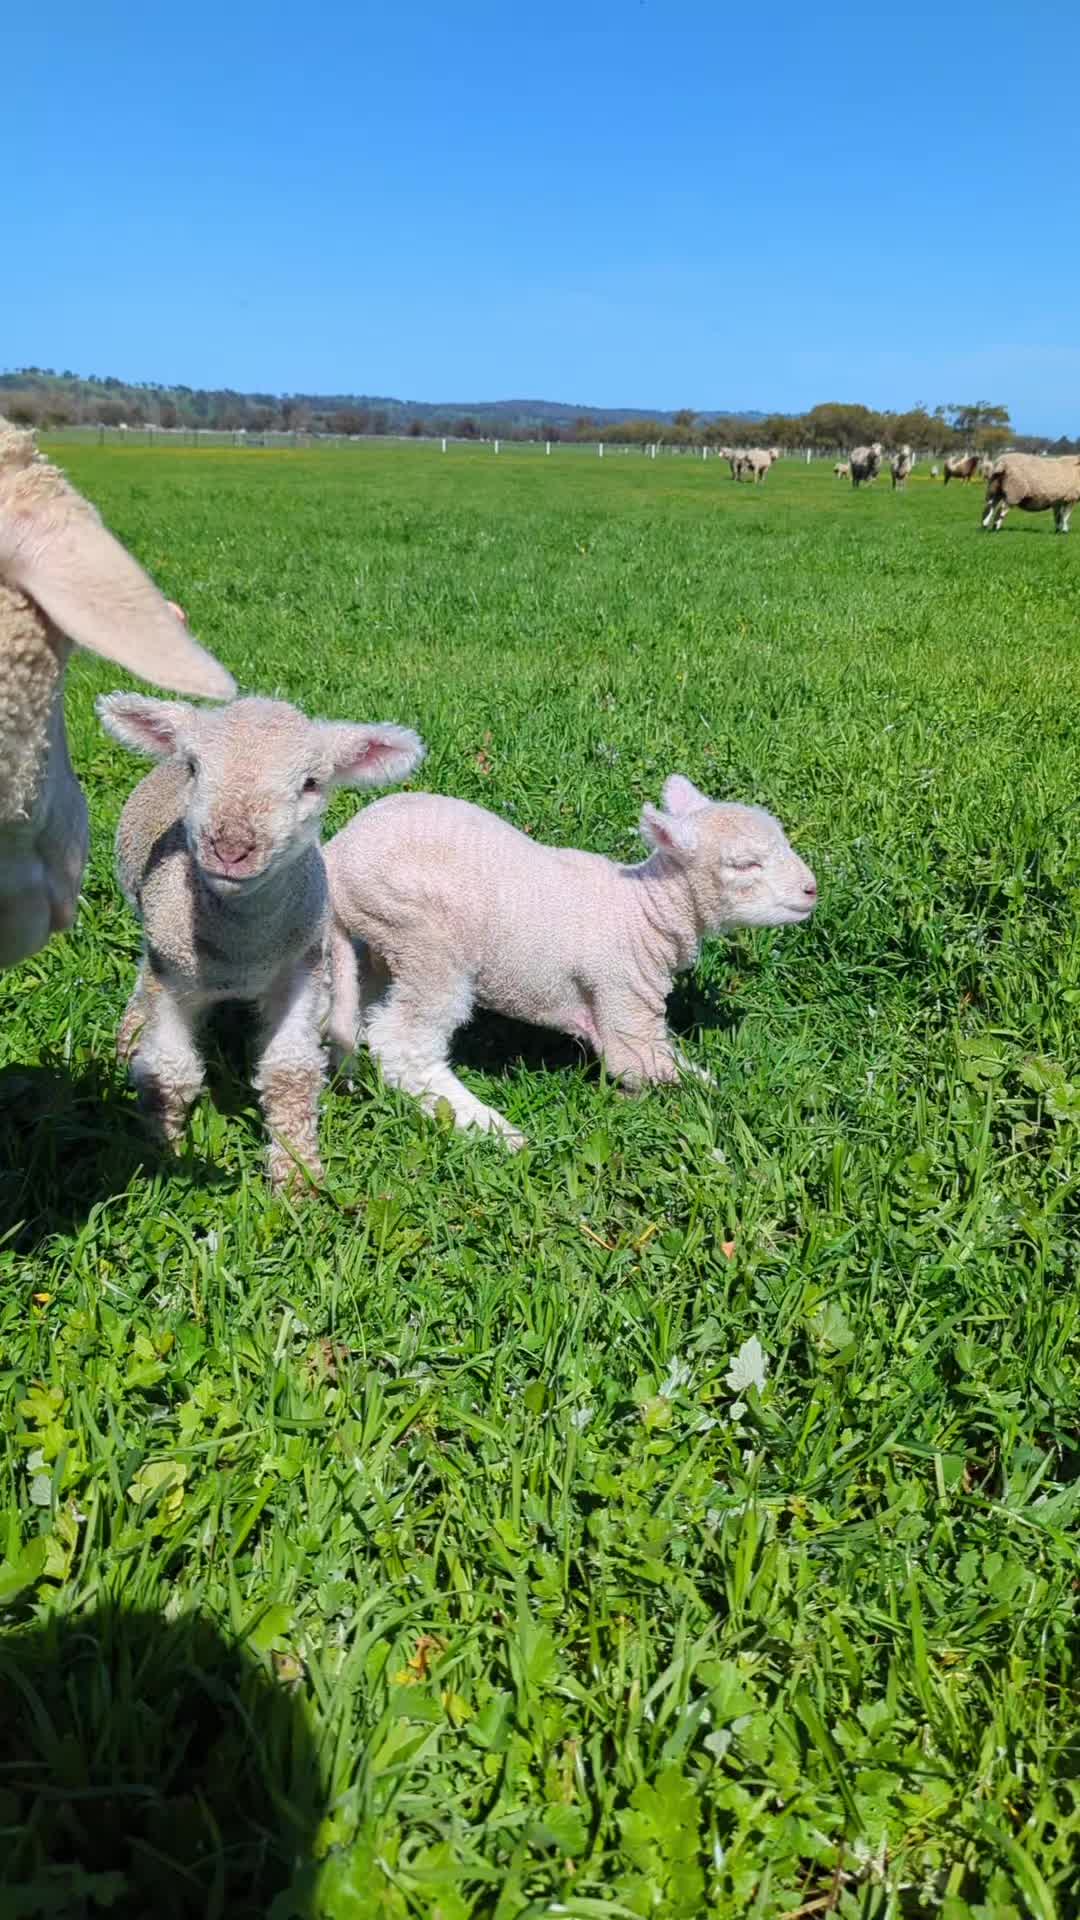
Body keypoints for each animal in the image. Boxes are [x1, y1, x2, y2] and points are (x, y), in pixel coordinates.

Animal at [96, 693, 424, 1189]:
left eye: (311, 783)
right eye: (193, 767)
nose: (230, 848)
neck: (242, 952)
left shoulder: (299, 971)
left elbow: (291, 1072)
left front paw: (297, 1176)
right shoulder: (173, 977)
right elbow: (169, 1072)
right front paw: (161, 1153)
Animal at [324, 776, 817, 1150]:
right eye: (745, 865)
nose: (812, 890)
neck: (645, 910)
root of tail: (337, 856)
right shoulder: (624, 995)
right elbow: (643, 1066)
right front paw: (733, 1103)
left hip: (385, 940)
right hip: (425, 936)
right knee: (404, 1042)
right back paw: (489, 1127)